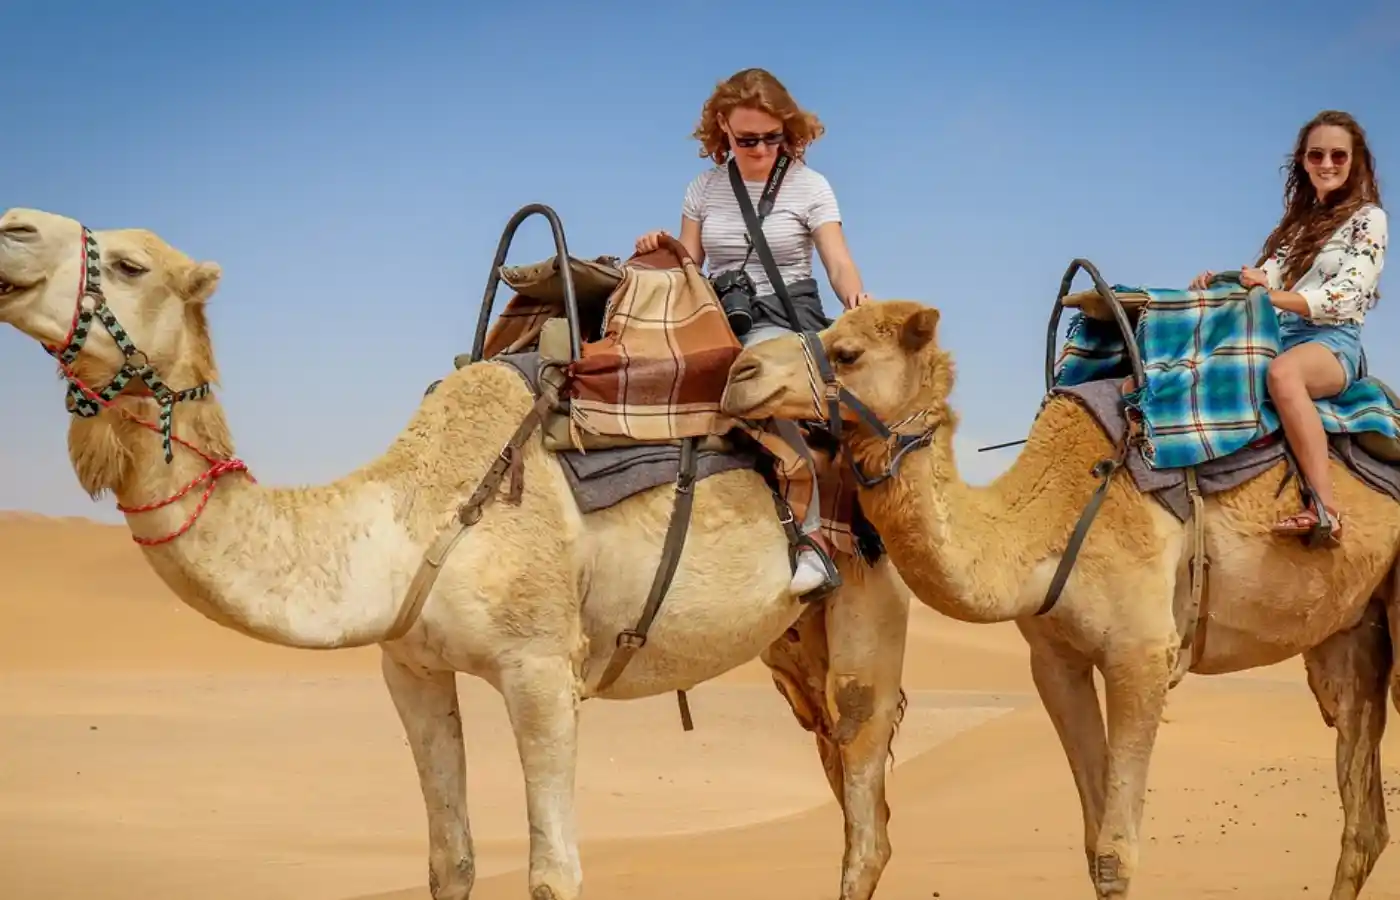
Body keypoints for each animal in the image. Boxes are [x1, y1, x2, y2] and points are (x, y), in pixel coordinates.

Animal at [0, 207, 914, 900]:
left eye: (128, 264)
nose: (12, 225)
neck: (412, 519)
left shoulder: (543, 667)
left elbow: (553, 873)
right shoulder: (409, 668)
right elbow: (451, 860)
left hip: (869, 604)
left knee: (864, 804)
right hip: (793, 644)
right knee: (851, 796)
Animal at [719, 297, 1400, 900]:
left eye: (847, 352)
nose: (739, 374)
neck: (1047, 522)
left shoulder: (1142, 655)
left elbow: (1117, 853)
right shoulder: (1055, 661)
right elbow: (1094, 841)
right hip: (1348, 634)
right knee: (1364, 816)